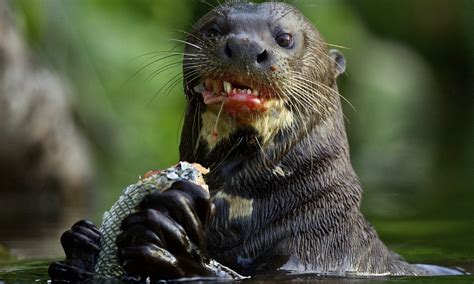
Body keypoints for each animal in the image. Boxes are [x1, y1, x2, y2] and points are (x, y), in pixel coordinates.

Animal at [48, 0, 456, 282]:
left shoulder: (311, 254)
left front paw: (174, 243)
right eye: (214, 29)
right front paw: (83, 242)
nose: (243, 46)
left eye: (285, 38)